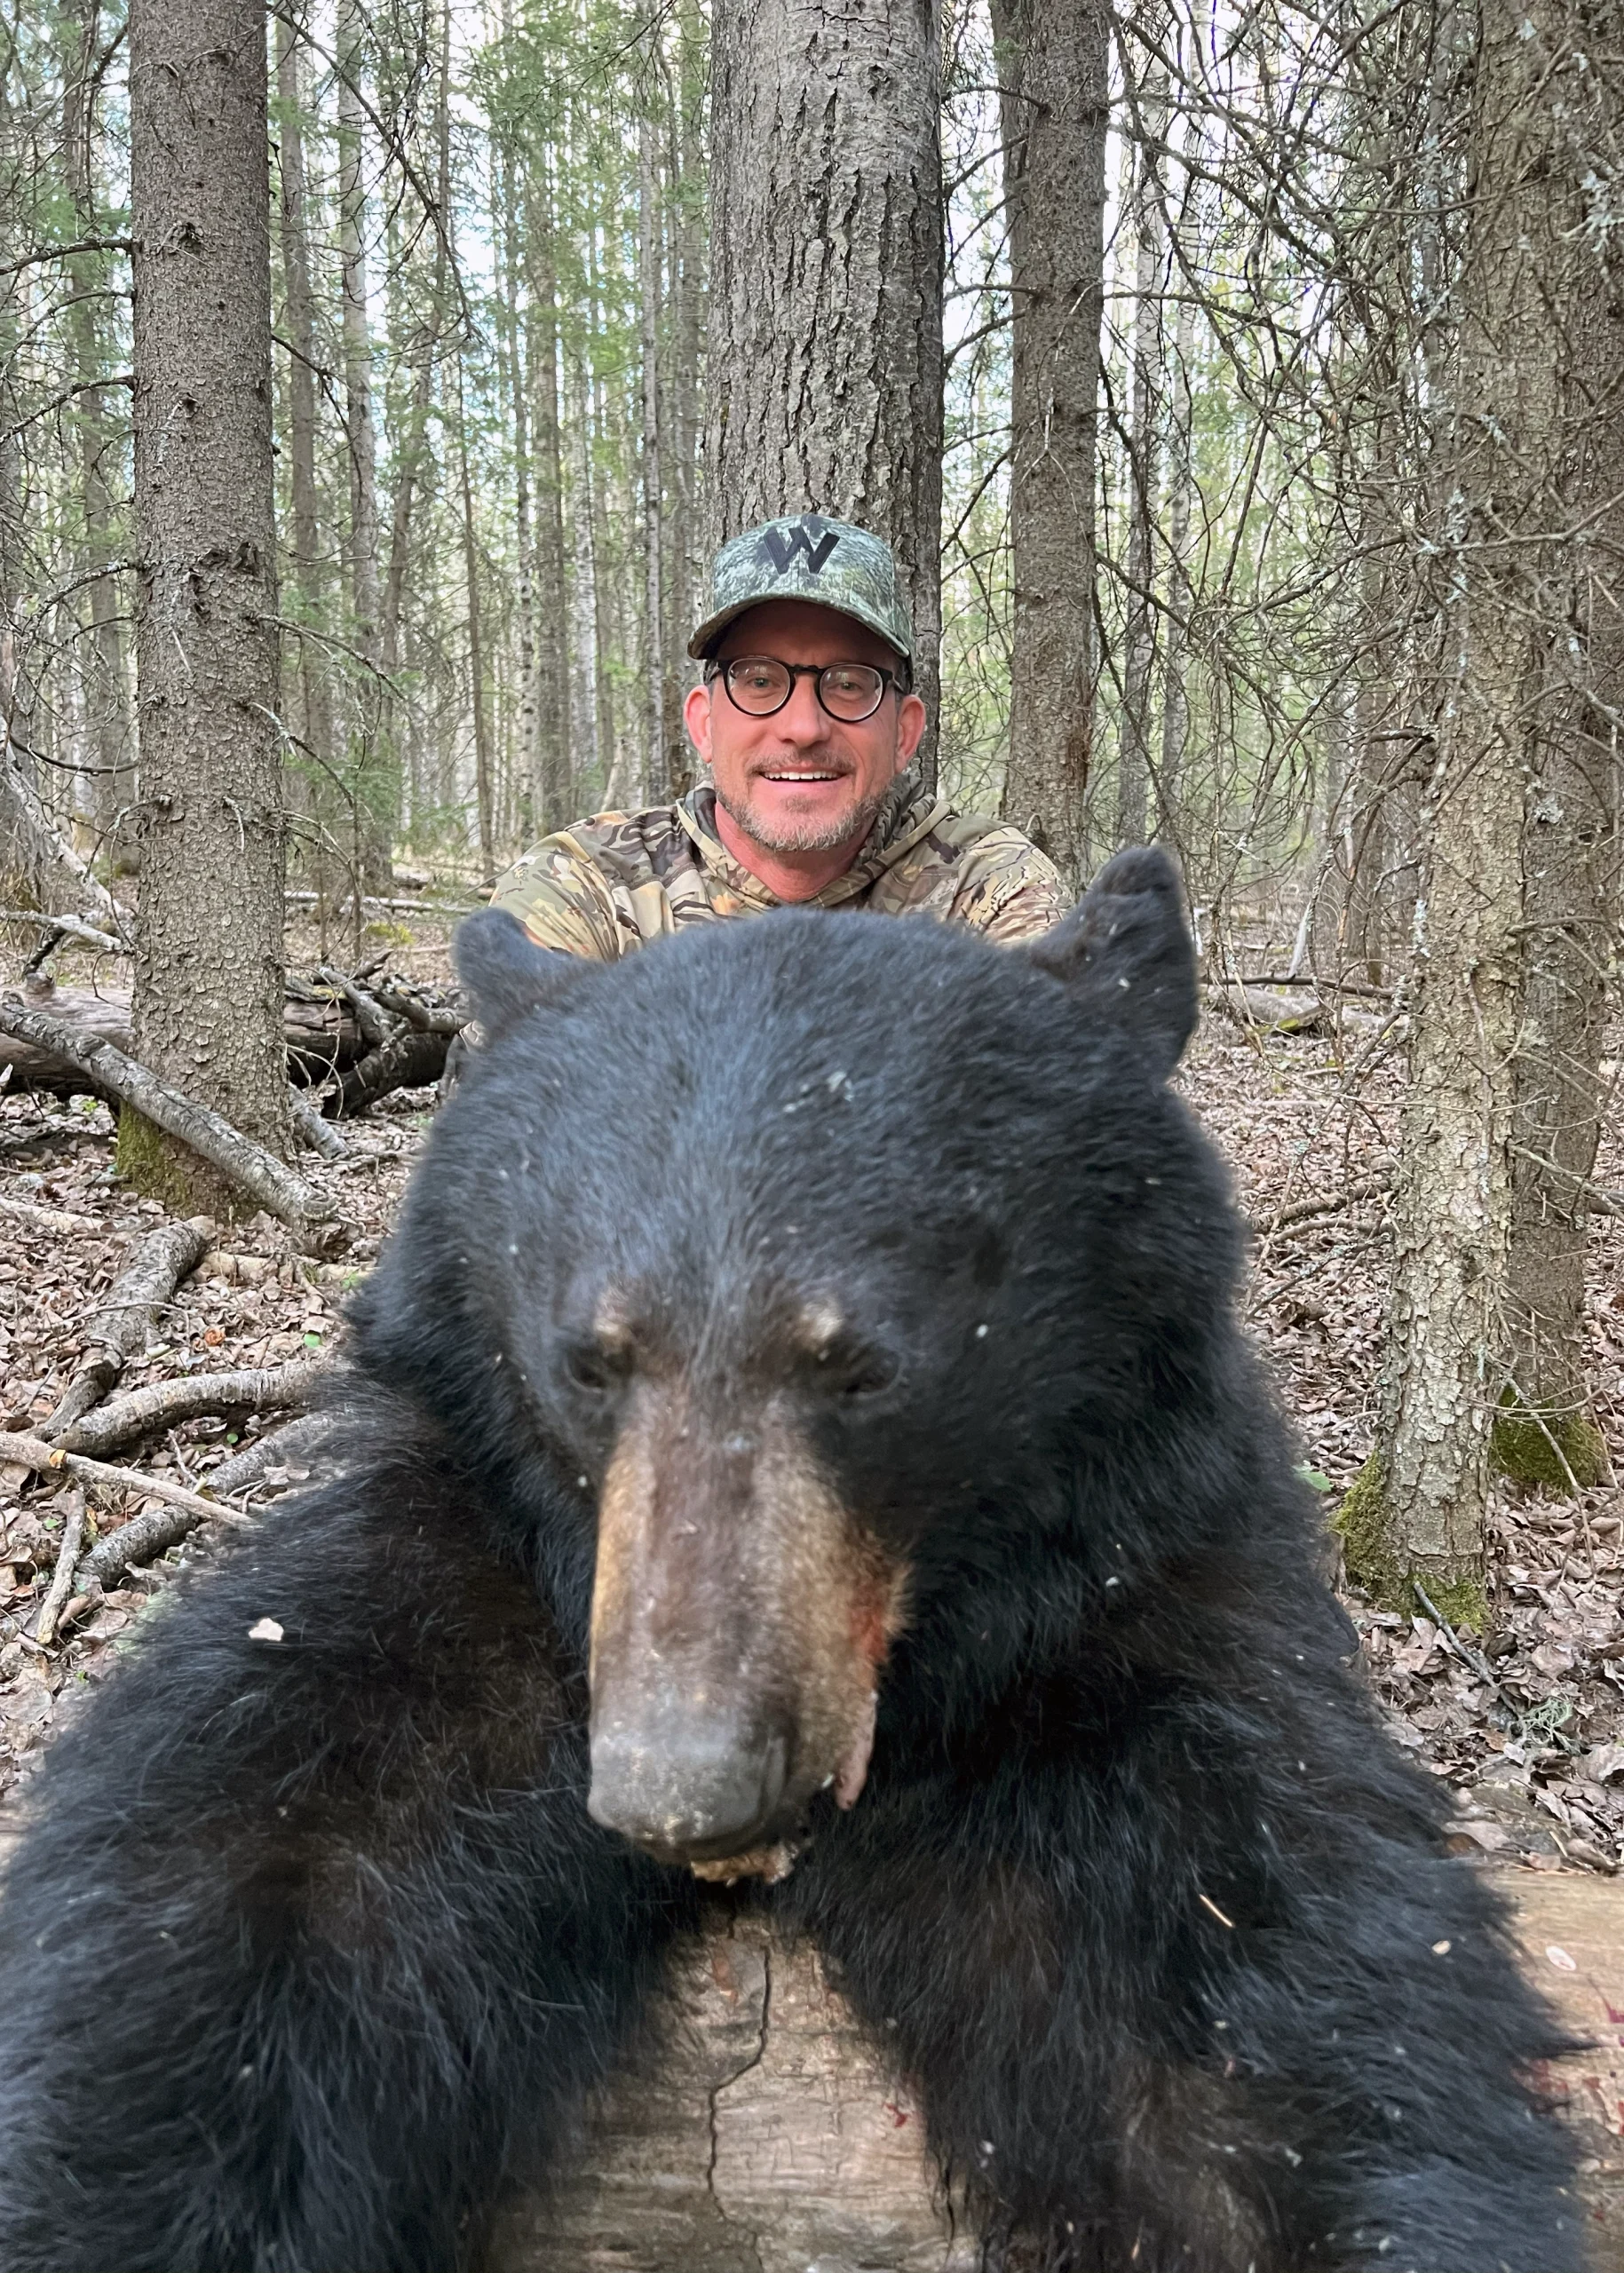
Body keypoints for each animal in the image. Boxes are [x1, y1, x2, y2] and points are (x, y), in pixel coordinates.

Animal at [0, 849, 1579, 2273]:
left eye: (862, 1366)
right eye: (591, 1357)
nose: (681, 1788)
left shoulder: (1124, 1616)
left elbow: (1269, 1995)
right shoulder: (472, 1576)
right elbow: (234, 1889)